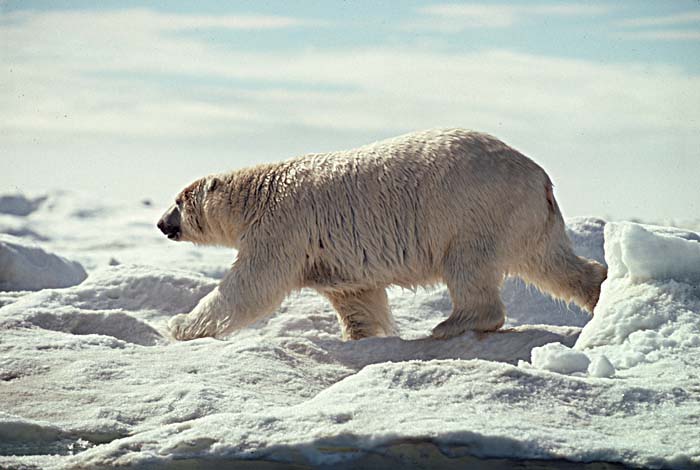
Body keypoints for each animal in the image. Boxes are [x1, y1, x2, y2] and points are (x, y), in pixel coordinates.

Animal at [159, 129, 608, 342]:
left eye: (178, 200)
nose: (162, 224)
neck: (259, 192)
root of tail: (539, 176)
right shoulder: (333, 255)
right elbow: (357, 296)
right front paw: (359, 336)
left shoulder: (282, 227)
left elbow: (251, 285)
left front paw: (180, 325)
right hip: (527, 219)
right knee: (550, 263)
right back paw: (599, 292)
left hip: (474, 210)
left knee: (469, 265)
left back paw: (451, 324)